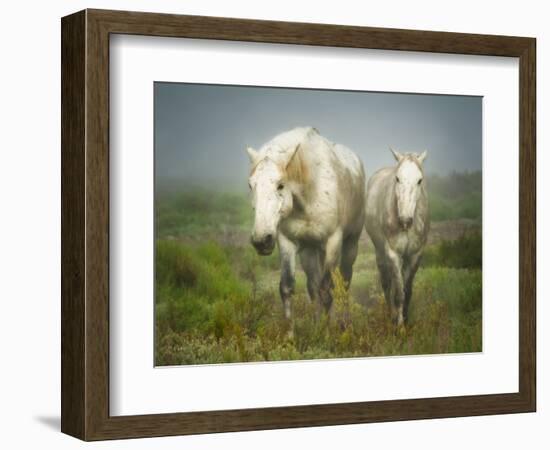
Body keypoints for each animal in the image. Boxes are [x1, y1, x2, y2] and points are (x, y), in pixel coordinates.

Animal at [246, 126, 366, 316]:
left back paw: (344, 320)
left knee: (345, 283)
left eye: (280, 185)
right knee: (313, 286)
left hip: (350, 244)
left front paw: (326, 325)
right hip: (310, 251)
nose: (261, 240)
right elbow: (287, 288)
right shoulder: (286, 242)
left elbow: (327, 291)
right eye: (251, 185)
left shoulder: (333, 241)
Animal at [366, 149, 432, 326]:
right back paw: (391, 314)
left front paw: (406, 321)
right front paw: (399, 326)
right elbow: (399, 294)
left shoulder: (415, 255)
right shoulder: (393, 254)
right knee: (386, 284)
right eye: (397, 178)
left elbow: (407, 291)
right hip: (380, 252)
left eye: (419, 180)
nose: (405, 221)